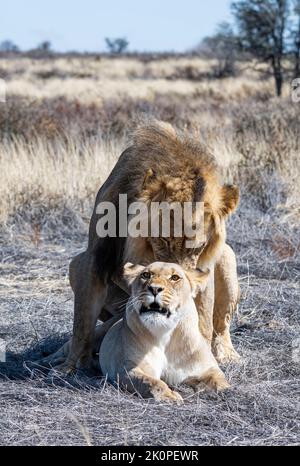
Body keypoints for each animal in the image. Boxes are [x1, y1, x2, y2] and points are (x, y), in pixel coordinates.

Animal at [44, 262, 229, 400]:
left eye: (175, 277)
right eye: (146, 275)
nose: (154, 289)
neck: (165, 333)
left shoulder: (208, 368)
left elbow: (221, 382)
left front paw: (210, 390)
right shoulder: (128, 369)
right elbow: (153, 383)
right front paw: (169, 396)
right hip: (95, 332)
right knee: (74, 346)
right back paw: (54, 364)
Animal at [50, 122, 240, 374]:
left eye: (197, 248)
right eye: (162, 241)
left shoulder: (204, 269)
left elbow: (203, 320)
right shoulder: (94, 257)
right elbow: (82, 321)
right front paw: (70, 367)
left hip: (228, 258)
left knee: (221, 324)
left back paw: (227, 354)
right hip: (74, 265)